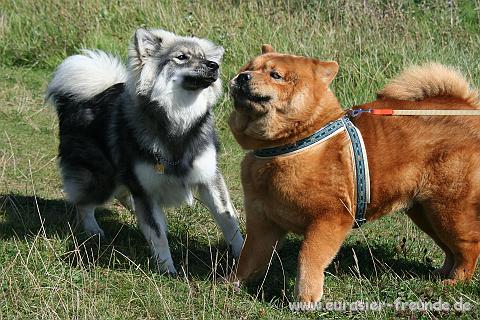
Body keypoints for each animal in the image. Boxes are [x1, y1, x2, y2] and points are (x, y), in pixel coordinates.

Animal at [47, 28, 244, 276]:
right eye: (182, 57)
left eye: (204, 56)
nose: (213, 65)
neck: (178, 121)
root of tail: (86, 96)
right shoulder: (145, 189)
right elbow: (156, 233)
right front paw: (167, 268)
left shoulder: (209, 178)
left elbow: (228, 220)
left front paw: (243, 254)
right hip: (100, 178)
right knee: (84, 203)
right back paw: (93, 229)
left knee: (122, 195)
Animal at [228, 45, 480, 302]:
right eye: (248, 68)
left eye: (275, 75)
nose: (242, 77)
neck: (287, 145)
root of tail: (469, 108)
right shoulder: (263, 224)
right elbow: (248, 259)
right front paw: (227, 285)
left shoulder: (330, 217)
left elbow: (308, 256)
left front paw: (305, 297)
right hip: (424, 212)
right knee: (450, 249)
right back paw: (441, 274)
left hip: (449, 210)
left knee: (468, 246)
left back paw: (455, 281)